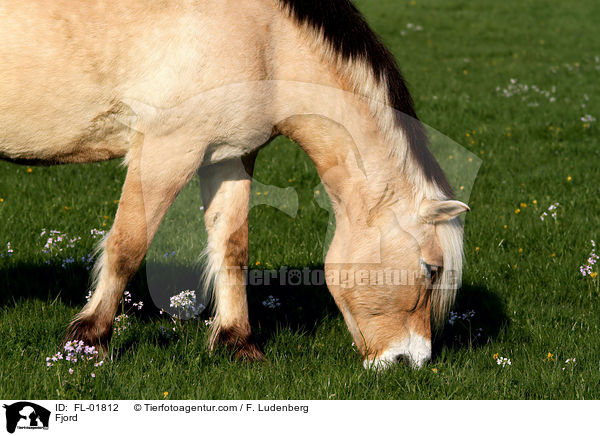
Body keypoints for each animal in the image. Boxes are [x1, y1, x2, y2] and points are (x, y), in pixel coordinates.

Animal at [0, 0, 468, 368]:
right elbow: (127, 246)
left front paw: (237, 343)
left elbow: (232, 247)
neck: (268, 38)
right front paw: (88, 339)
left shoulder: (229, 156)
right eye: (431, 269)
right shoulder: (167, 149)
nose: (410, 360)